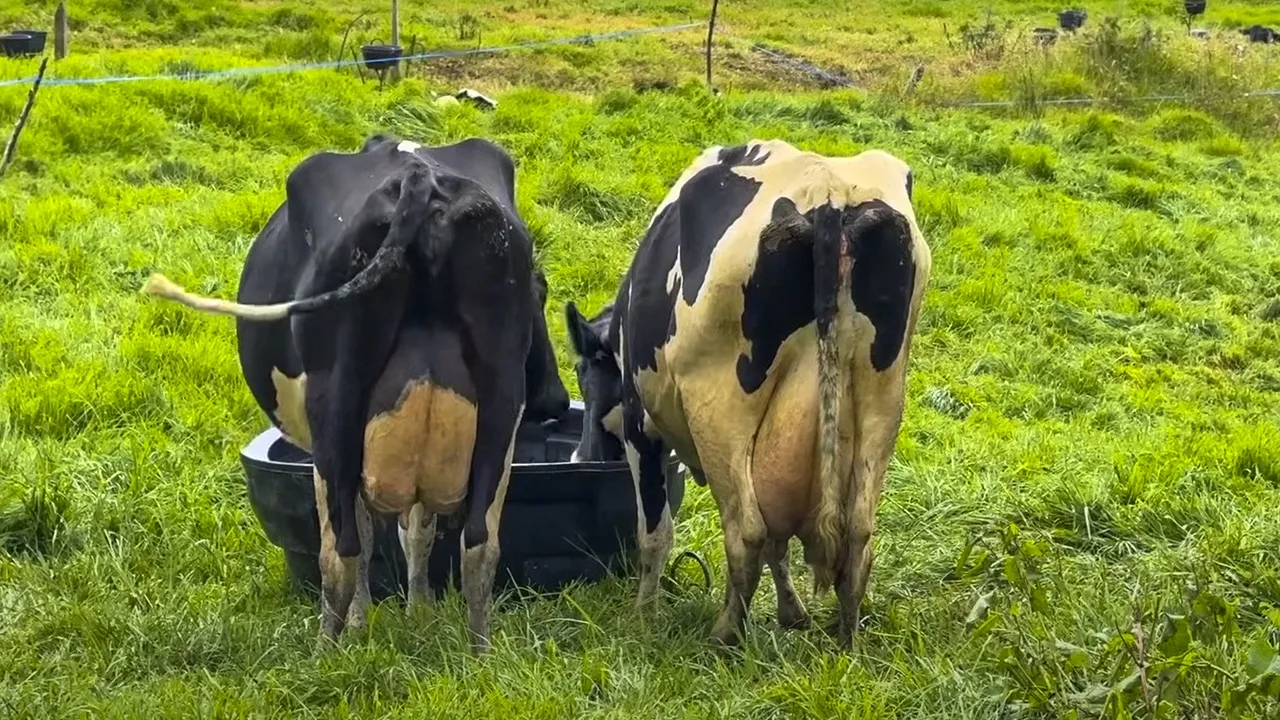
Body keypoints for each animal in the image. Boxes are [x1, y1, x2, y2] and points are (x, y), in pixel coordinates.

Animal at [140, 133, 570, 653]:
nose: (555, 399)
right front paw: (418, 613)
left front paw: (362, 625)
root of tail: (419, 176)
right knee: (480, 543)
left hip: (336, 404)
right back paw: (479, 652)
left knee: (339, 550)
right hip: (500, 404)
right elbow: (417, 533)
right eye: (542, 293)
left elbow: (364, 538)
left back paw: (326, 652)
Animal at [563, 139, 931, 648]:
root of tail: (829, 195)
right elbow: (779, 539)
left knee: (746, 530)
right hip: (881, 403)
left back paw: (725, 633)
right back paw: (847, 641)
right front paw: (793, 612)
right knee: (856, 535)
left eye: (582, 372)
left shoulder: (640, 426)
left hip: (722, 413)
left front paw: (643, 616)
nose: (581, 457)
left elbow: (655, 532)